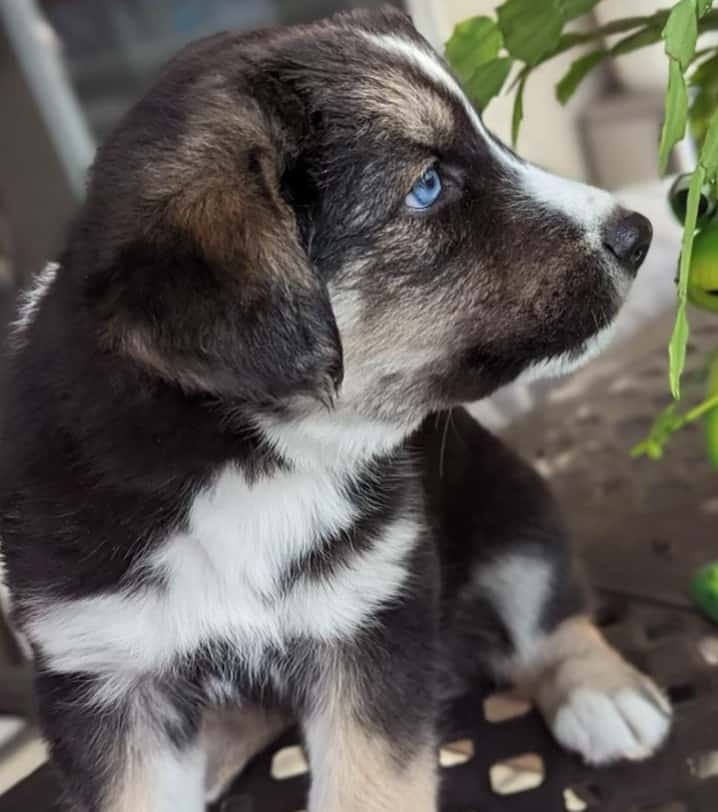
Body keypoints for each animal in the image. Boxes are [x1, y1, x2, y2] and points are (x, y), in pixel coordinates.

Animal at [1, 7, 676, 812]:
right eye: (427, 186)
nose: (638, 233)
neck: (247, 461)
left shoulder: (374, 610)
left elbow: (371, 783)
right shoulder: (102, 667)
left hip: (512, 498)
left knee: (547, 601)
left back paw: (605, 694)